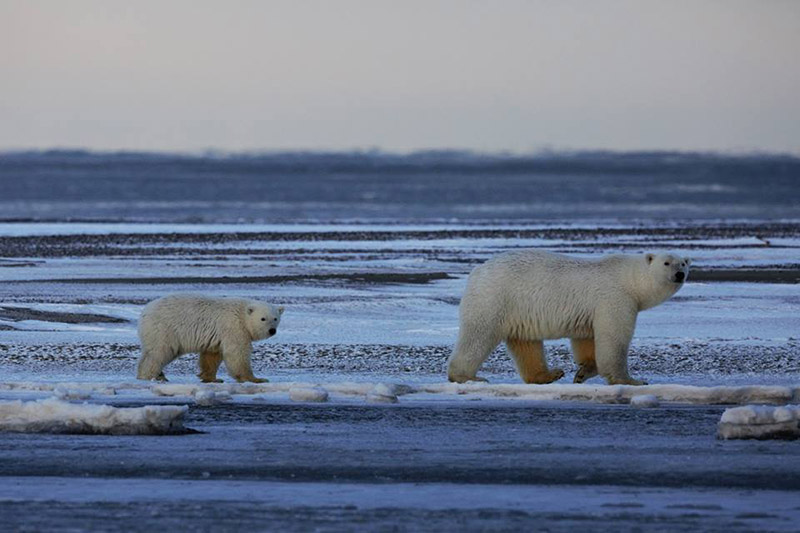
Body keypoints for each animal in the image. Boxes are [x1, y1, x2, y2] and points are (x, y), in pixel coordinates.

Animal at [138, 296, 284, 382]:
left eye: (275, 318)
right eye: (263, 318)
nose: (272, 330)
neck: (241, 315)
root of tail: (145, 311)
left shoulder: (217, 337)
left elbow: (211, 356)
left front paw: (211, 378)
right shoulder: (234, 328)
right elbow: (237, 354)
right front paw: (256, 379)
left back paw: (159, 375)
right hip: (165, 329)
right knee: (159, 351)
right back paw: (150, 375)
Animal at [446, 251, 692, 384]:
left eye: (683, 263)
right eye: (666, 263)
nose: (679, 274)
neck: (630, 279)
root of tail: (477, 271)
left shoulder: (592, 311)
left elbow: (586, 339)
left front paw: (582, 372)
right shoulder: (615, 299)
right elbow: (614, 339)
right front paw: (632, 380)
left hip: (518, 310)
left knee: (526, 344)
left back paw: (548, 374)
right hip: (495, 298)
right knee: (478, 335)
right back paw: (467, 376)